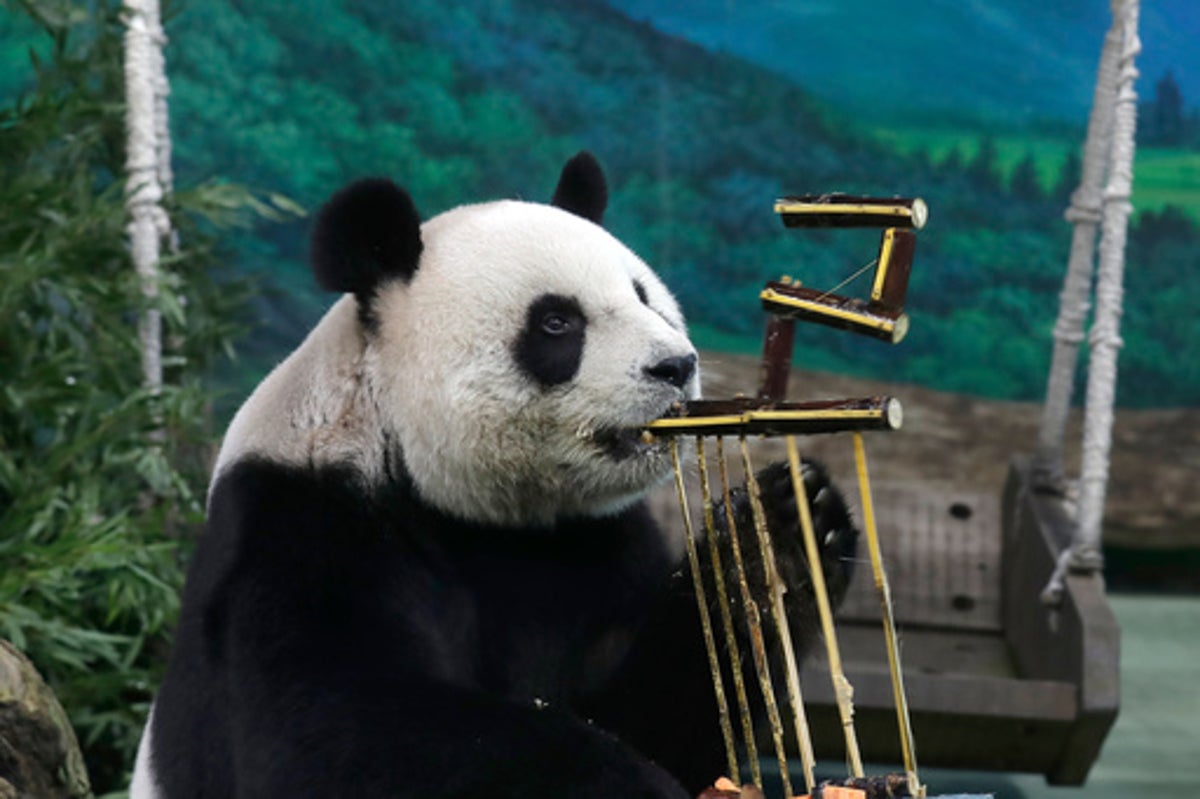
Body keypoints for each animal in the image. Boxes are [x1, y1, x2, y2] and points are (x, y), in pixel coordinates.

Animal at [130, 152, 858, 799]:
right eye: (557, 321)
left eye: (643, 295)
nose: (675, 366)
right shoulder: (301, 526)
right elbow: (333, 730)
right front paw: (625, 782)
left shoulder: (597, 549)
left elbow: (659, 712)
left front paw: (781, 537)